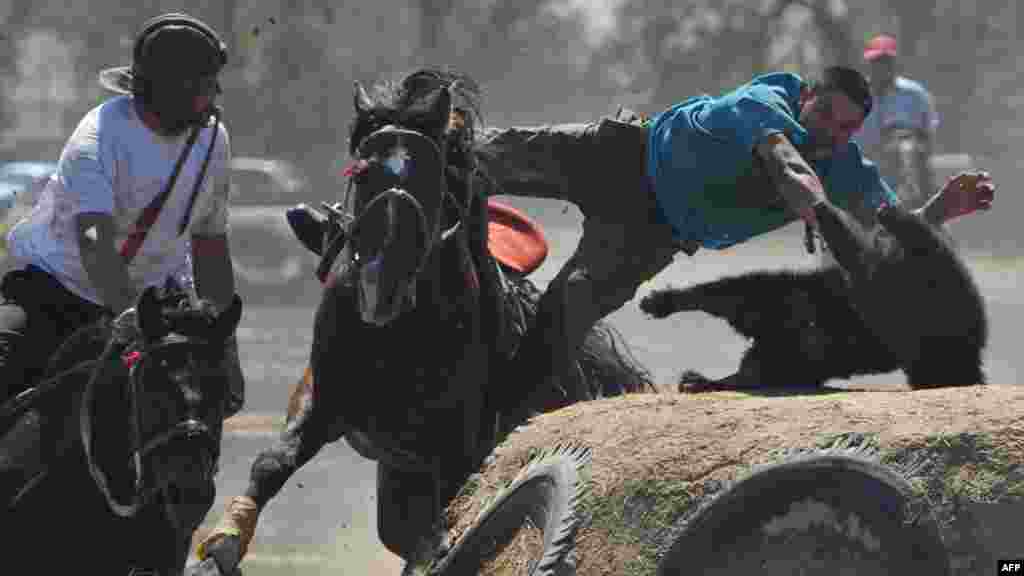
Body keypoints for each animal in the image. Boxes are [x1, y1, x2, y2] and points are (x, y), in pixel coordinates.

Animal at [195, 66, 651, 569]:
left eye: (435, 175)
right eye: (362, 171)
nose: (383, 282)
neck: (395, 332)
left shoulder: (458, 441)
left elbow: (446, 513)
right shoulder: (322, 395)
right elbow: (275, 459)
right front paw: (225, 538)